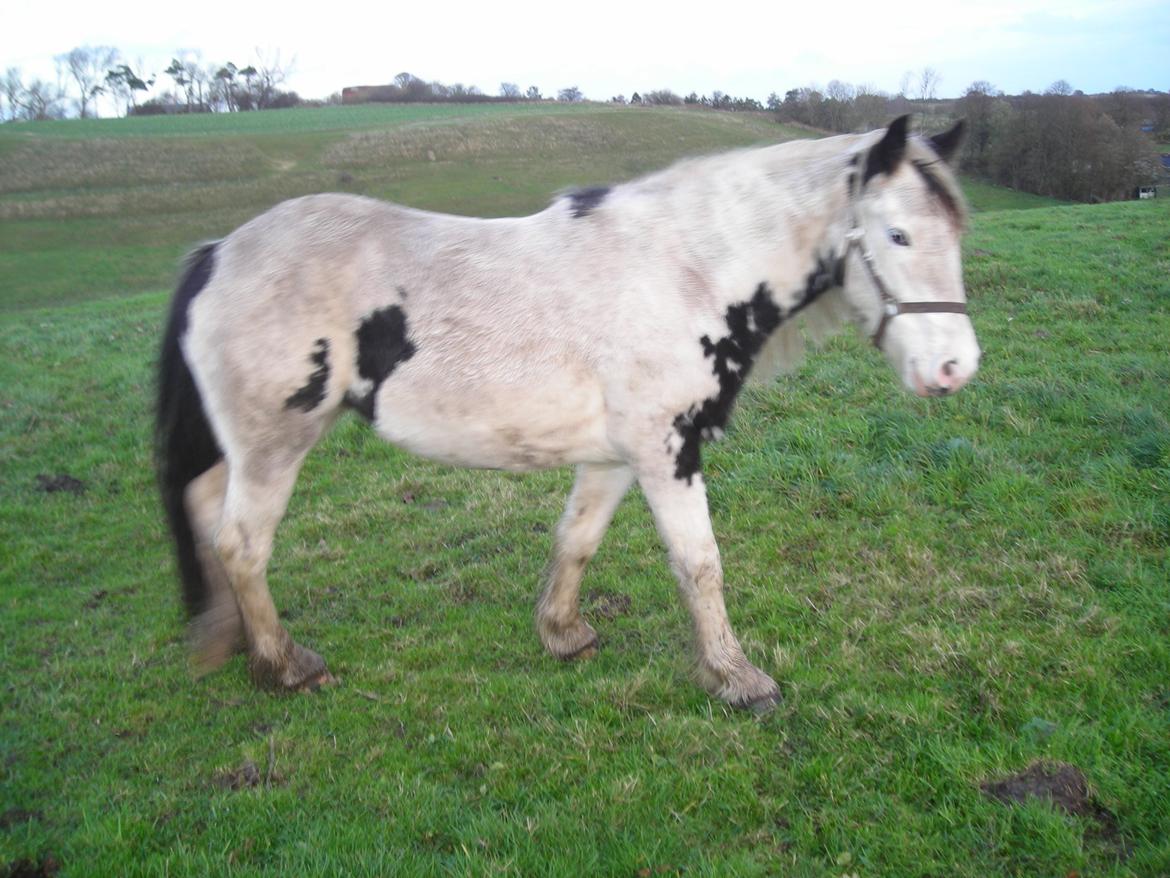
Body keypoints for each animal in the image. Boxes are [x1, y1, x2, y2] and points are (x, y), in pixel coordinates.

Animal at [155, 115, 978, 716]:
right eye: (898, 234)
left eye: (956, 232)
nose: (955, 368)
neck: (687, 270)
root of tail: (218, 253)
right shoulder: (667, 452)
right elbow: (700, 564)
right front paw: (736, 677)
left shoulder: (616, 455)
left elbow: (577, 539)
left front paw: (564, 634)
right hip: (275, 443)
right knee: (242, 545)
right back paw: (285, 665)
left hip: (241, 446)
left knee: (201, 505)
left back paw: (224, 638)